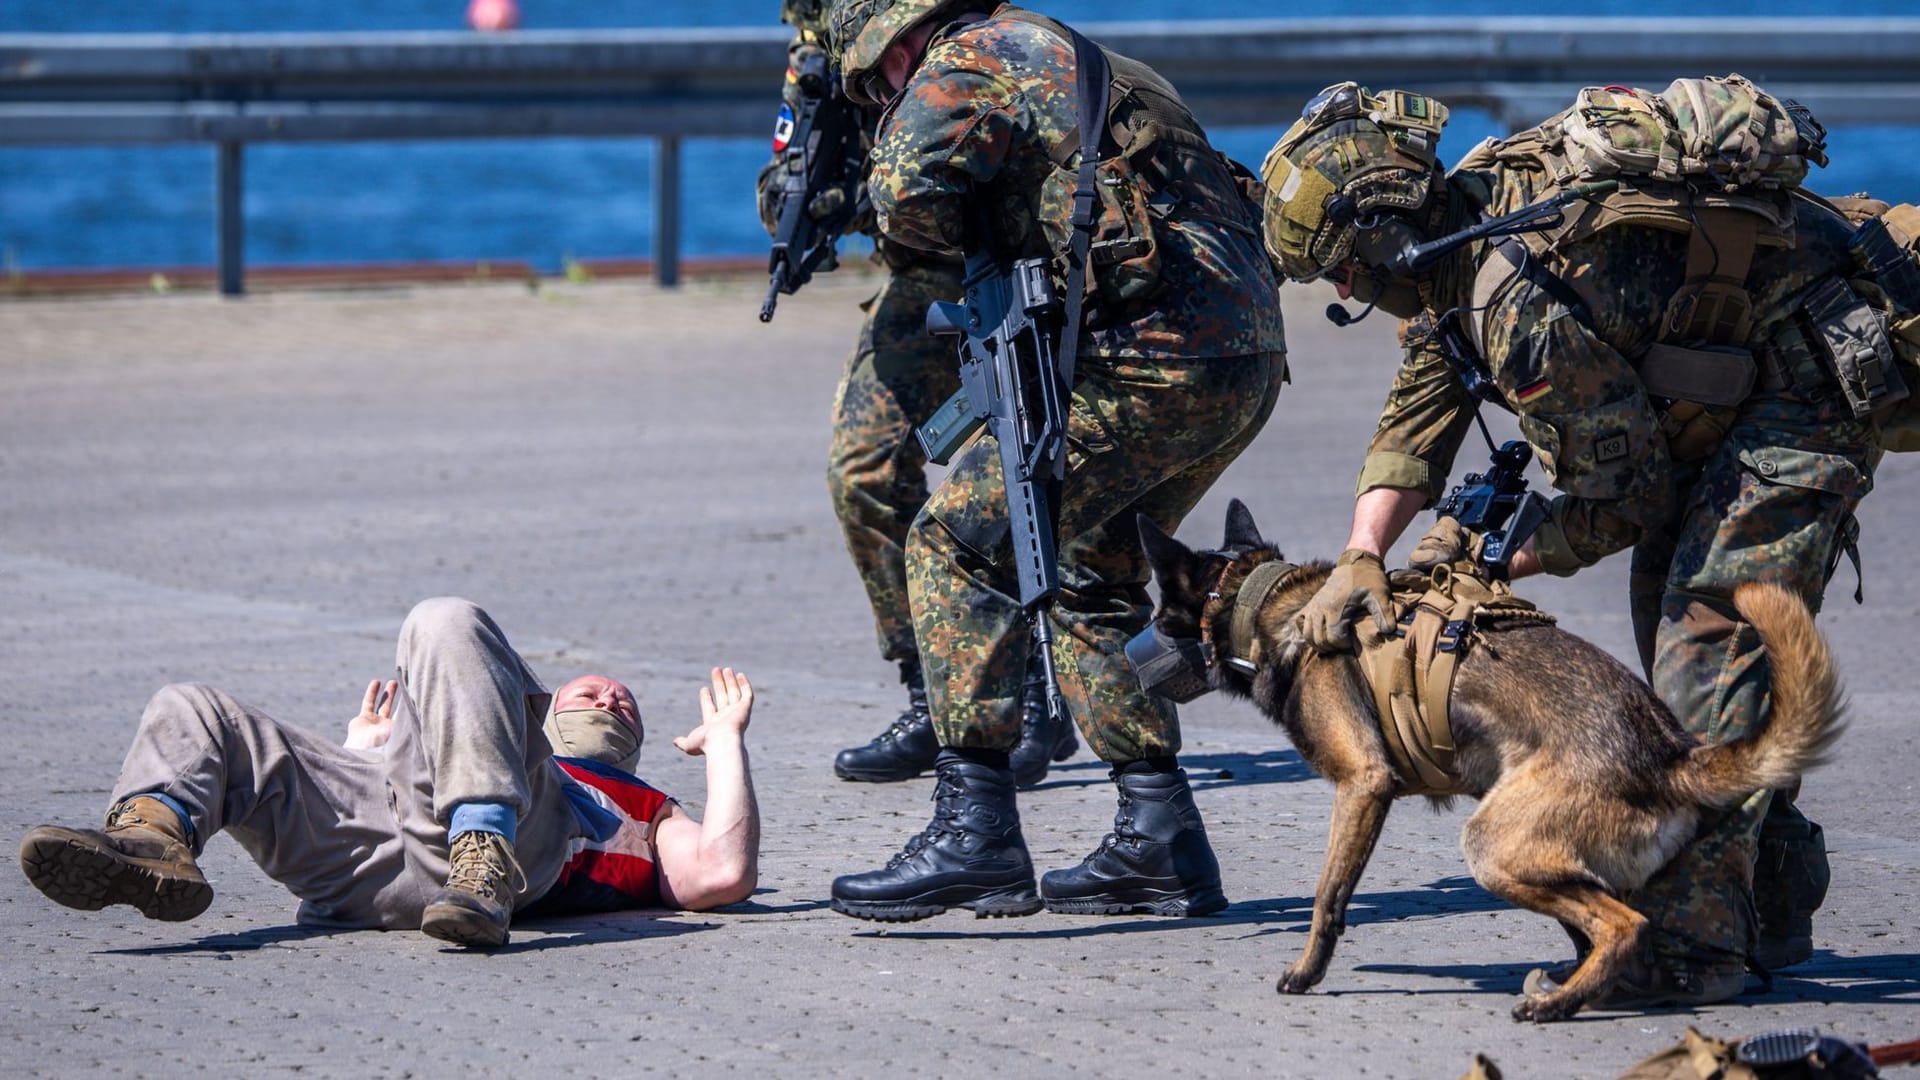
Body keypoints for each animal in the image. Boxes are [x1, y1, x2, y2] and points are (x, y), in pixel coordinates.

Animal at [1136, 499, 1843, 1014]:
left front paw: (1307, 972)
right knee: (1610, 925)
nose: (1129, 651)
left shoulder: (1362, 786)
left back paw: (1556, 1004)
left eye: (1161, 610)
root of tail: (1668, 755)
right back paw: (1584, 988)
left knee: (1624, 927)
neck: (1273, 604)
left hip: (1493, 847)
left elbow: (1327, 897)